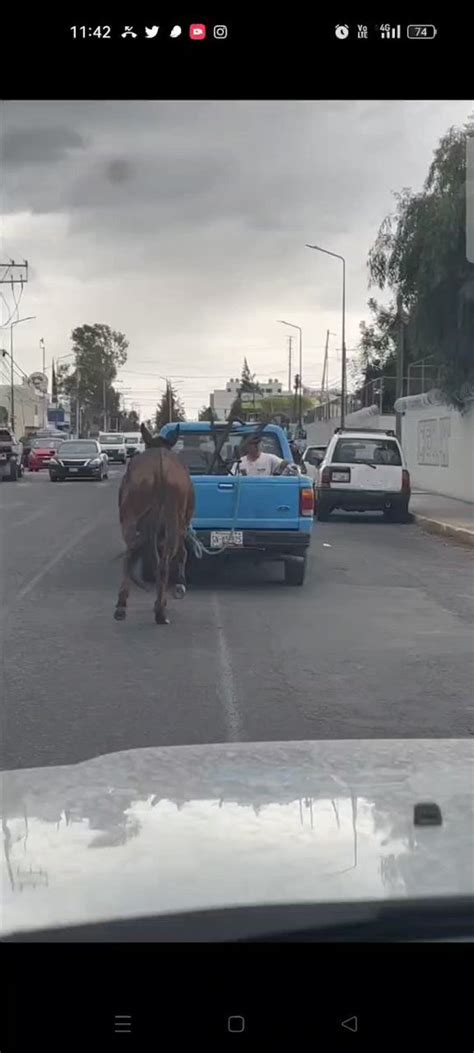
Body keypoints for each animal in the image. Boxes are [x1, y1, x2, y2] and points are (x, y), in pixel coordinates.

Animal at [114, 423, 194, 623]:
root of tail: (161, 469)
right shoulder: (182, 525)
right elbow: (182, 553)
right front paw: (179, 585)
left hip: (132, 516)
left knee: (132, 554)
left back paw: (123, 604)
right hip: (172, 520)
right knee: (163, 561)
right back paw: (159, 610)